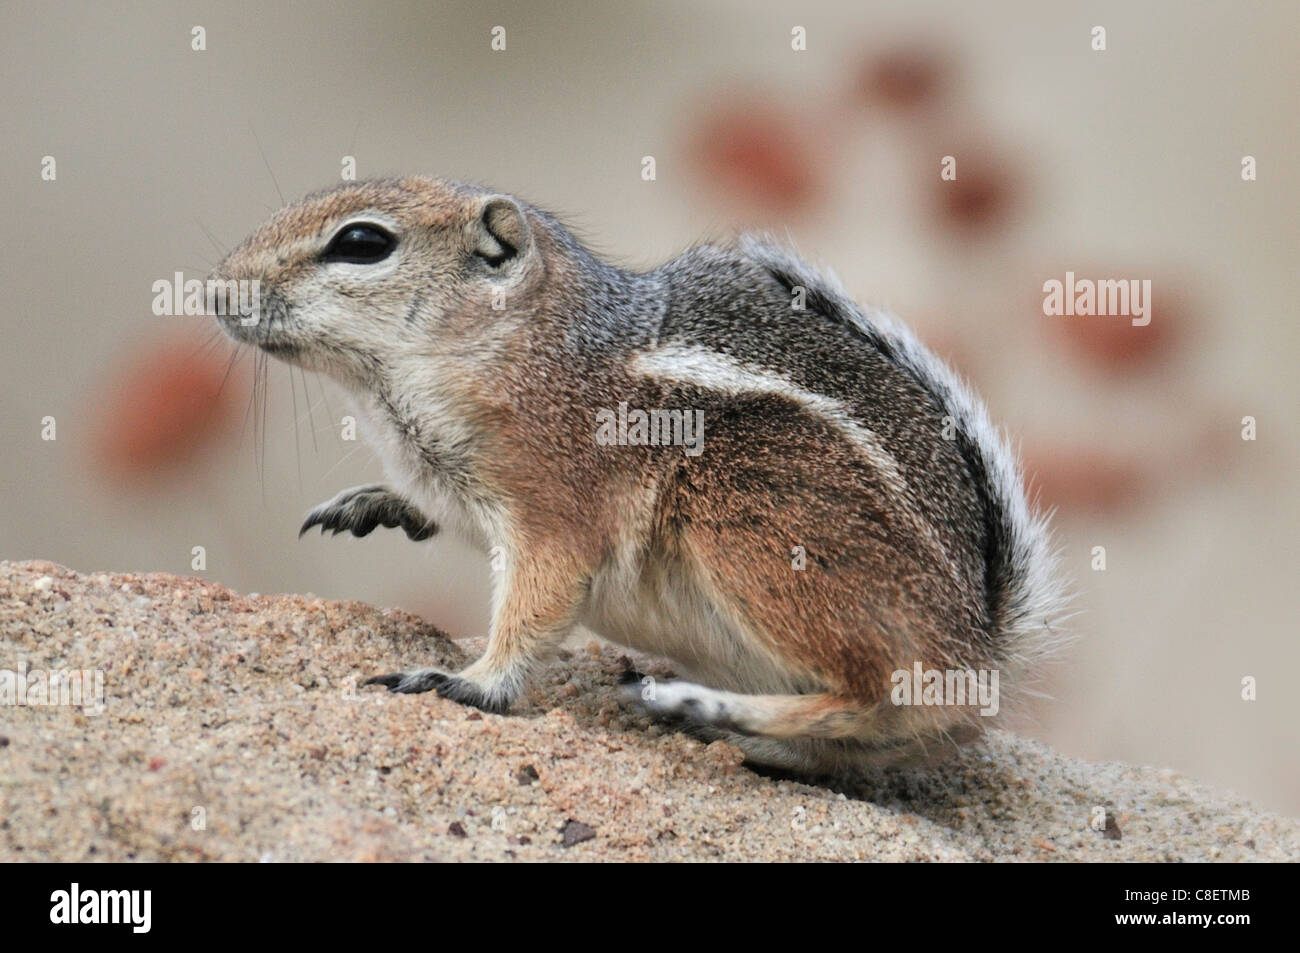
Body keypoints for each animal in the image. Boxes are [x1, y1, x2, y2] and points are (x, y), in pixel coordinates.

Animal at [213, 176, 1066, 774]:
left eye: (361, 242)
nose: (218, 289)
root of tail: (981, 641)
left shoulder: (555, 513)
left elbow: (534, 608)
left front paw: (472, 680)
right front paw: (371, 502)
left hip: (751, 513)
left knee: (881, 698)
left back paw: (699, 701)